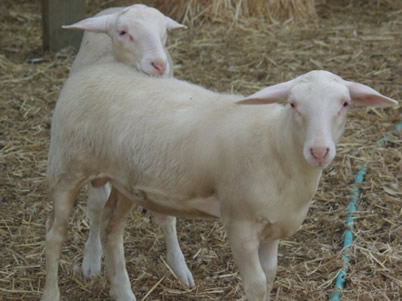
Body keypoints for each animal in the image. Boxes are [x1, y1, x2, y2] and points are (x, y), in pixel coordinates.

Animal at [42, 62, 398, 298]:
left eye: (345, 103)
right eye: (293, 104)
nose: (320, 151)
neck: (276, 146)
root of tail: (91, 69)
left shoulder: (273, 229)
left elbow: (270, 275)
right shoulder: (239, 223)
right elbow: (256, 283)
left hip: (124, 182)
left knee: (110, 228)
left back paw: (123, 292)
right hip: (66, 169)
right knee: (55, 235)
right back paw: (52, 292)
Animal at [63, 5, 194, 286]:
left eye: (164, 33)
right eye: (124, 33)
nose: (159, 64)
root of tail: (112, 8)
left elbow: (169, 218)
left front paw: (179, 266)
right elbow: (98, 209)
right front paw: (92, 259)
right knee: (96, 207)